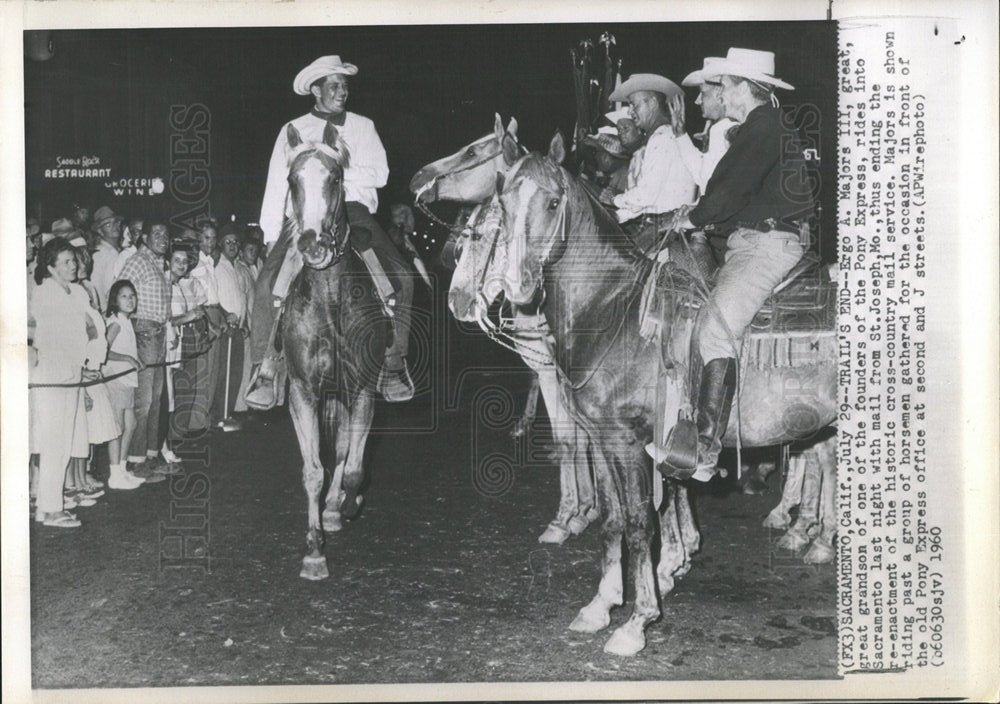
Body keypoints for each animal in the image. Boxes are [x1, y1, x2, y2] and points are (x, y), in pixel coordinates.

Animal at [410, 115, 596, 544]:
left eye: (473, 150)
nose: (417, 178)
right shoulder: (552, 370)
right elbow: (576, 435)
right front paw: (584, 510)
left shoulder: (556, 370)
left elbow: (573, 435)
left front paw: (571, 515)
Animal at [488, 135, 840, 656]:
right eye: (502, 202)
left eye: (552, 202)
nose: (517, 285)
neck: (613, 310)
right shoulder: (603, 439)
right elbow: (612, 520)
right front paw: (601, 606)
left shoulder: (629, 442)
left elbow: (640, 523)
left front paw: (638, 621)